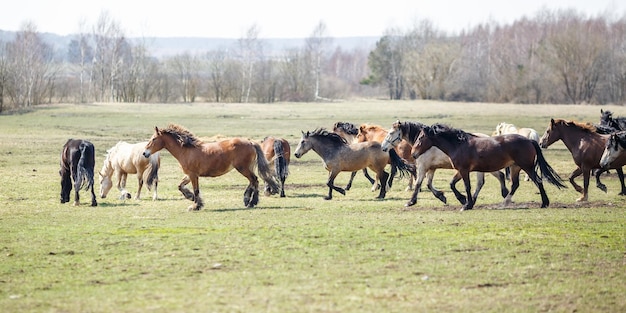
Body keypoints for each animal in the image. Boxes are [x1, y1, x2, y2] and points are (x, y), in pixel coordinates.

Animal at [143, 123, 280, 210]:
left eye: (154, 139)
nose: (145, 153)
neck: (186, 150)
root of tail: (250, 142)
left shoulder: (193, 175)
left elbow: (196, 190)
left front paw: (195, 206)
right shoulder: (189, 175)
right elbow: (180, 186)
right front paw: (191, 198)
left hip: (242, 168)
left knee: (254, 180)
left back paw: (251, 202)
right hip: (246, 168)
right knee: (253, 181)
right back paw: (248, 200)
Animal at [380, 120, 508, 206]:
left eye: (391, 133)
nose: (383, 147)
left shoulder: (423, 167)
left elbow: (418, 184)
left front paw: (411, 202)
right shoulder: (431, 168)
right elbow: (428, 184)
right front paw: (442, 197)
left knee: (495, 178)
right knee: (485, 181)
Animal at [412, 123, 564, 211]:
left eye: (420, 138)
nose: (413, 154)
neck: (458, 145)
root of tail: (529, 140)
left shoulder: (464, 170)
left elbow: (467, 186)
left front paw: (466, 204)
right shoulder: (461, 170)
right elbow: (452, 184)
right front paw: (464, 200)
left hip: (527, 167)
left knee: (537, 181)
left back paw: (543, 203)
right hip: (515, 167)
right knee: (515, 184)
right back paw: (504, 203)